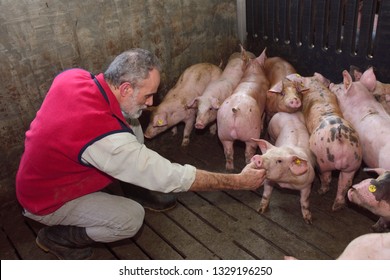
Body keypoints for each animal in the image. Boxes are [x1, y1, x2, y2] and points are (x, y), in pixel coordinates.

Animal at [286, 72, 362, 210]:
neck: (316, 86)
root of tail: (339, 136)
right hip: (353, 161)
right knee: (345, 183)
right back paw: (337, 206)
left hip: (322, 160)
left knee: (327, 178)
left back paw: (320, 192)